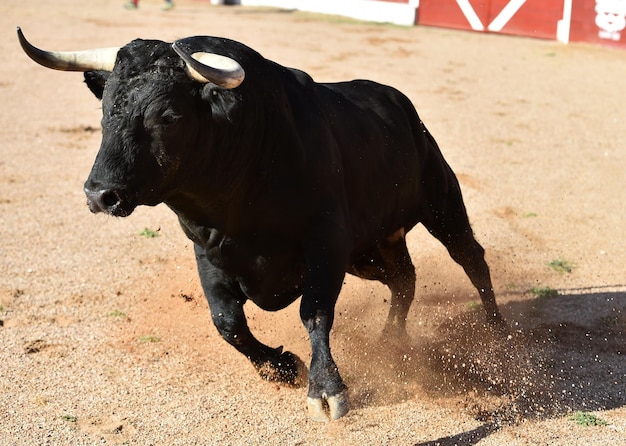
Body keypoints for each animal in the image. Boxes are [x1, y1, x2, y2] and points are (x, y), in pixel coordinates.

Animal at [18, 28, 502, 422]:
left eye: (168, 116)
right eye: (104, 111)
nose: (100, 194)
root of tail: (398, 103)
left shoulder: (325, 242)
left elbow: (315, 312)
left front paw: (326, 390)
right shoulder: (207, 250)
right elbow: (226, 320)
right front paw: (281, 367)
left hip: (440, 203)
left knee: (471, 260)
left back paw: (496, 332)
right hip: (370, 249)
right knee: (403, 277)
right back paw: (389, 340)